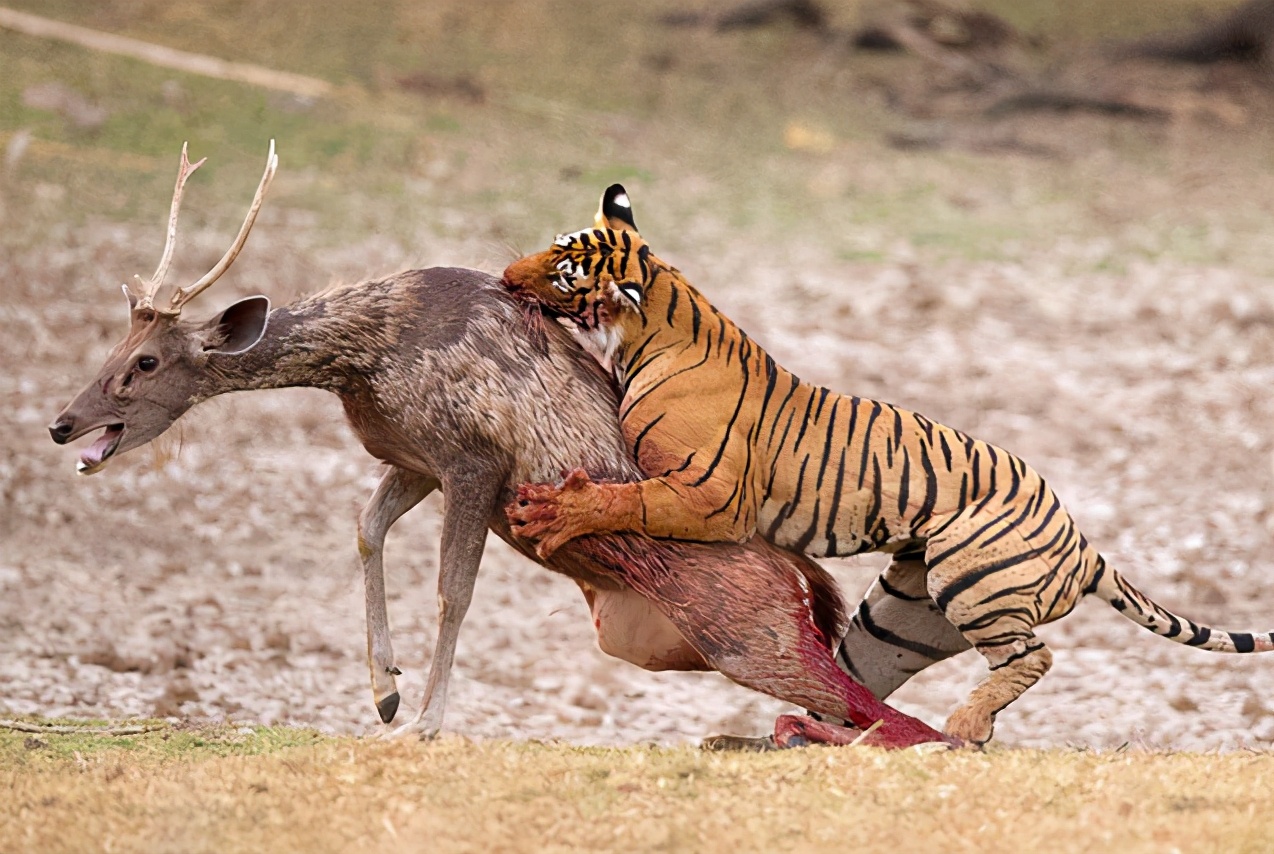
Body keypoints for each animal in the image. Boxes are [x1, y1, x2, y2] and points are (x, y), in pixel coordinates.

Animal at [47, 144, 958, 754]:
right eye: (114, 344)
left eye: (146, 362)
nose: (61, 421)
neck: (365, 358)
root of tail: (808, 586)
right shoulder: (411, 456)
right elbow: (365, 530)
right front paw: (383, 692)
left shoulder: (472, 458)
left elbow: (454, 591)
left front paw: (422, 722)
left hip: (755, 636)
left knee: (908, 720)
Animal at [501, 183, 1274, 744]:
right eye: (553, 244)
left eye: (563, 271)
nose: (506, 277)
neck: (648, 324)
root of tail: (1083, 544)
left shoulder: (711, 496)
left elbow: (622, 498)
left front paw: (557, 510)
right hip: (895, 620)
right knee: (852, 694)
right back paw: (788, 737)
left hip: (971, 581)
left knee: (1033, 657)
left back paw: (964, 723)